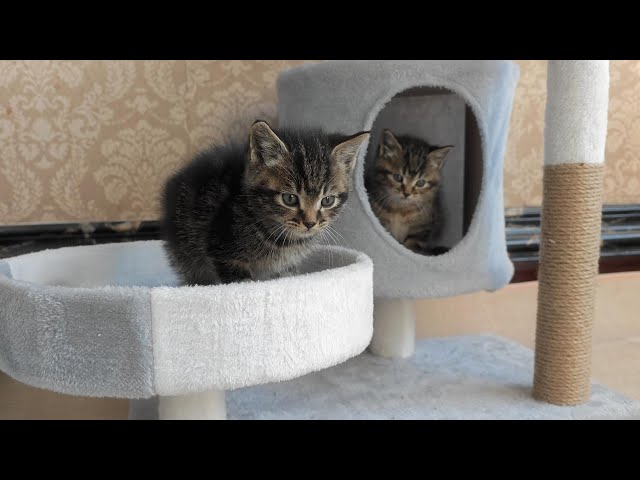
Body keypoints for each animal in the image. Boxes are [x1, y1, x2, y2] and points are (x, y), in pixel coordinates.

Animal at [368, 127, 452, 255]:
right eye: (398, 177)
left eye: (420, 183)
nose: (406, 193)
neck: (400, 209)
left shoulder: (422, 229)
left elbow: (411, 245)